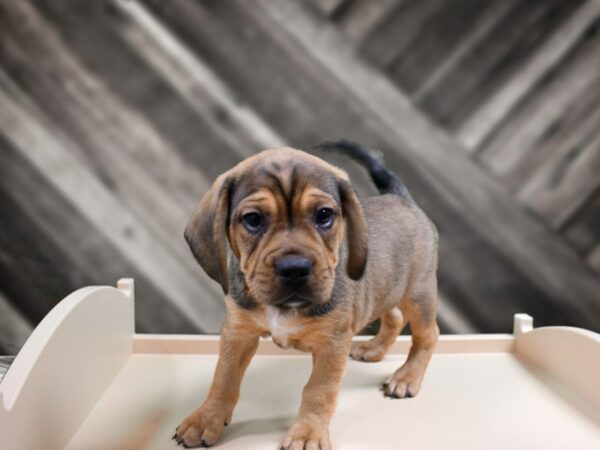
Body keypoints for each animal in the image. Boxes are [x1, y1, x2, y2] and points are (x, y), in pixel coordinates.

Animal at [172, 140, 436, 446]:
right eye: (253, 219)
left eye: (324, 215)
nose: (295, 268)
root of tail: (401, 198)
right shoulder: (237, 332)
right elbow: (223, 378)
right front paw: (205, 419)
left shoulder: (332, 344)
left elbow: (318, 391)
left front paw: (308, 433)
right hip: (389, 290)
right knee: (394, 317)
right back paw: (373, 349)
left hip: (419, 295)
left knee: (427, 336)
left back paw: (407, 377)